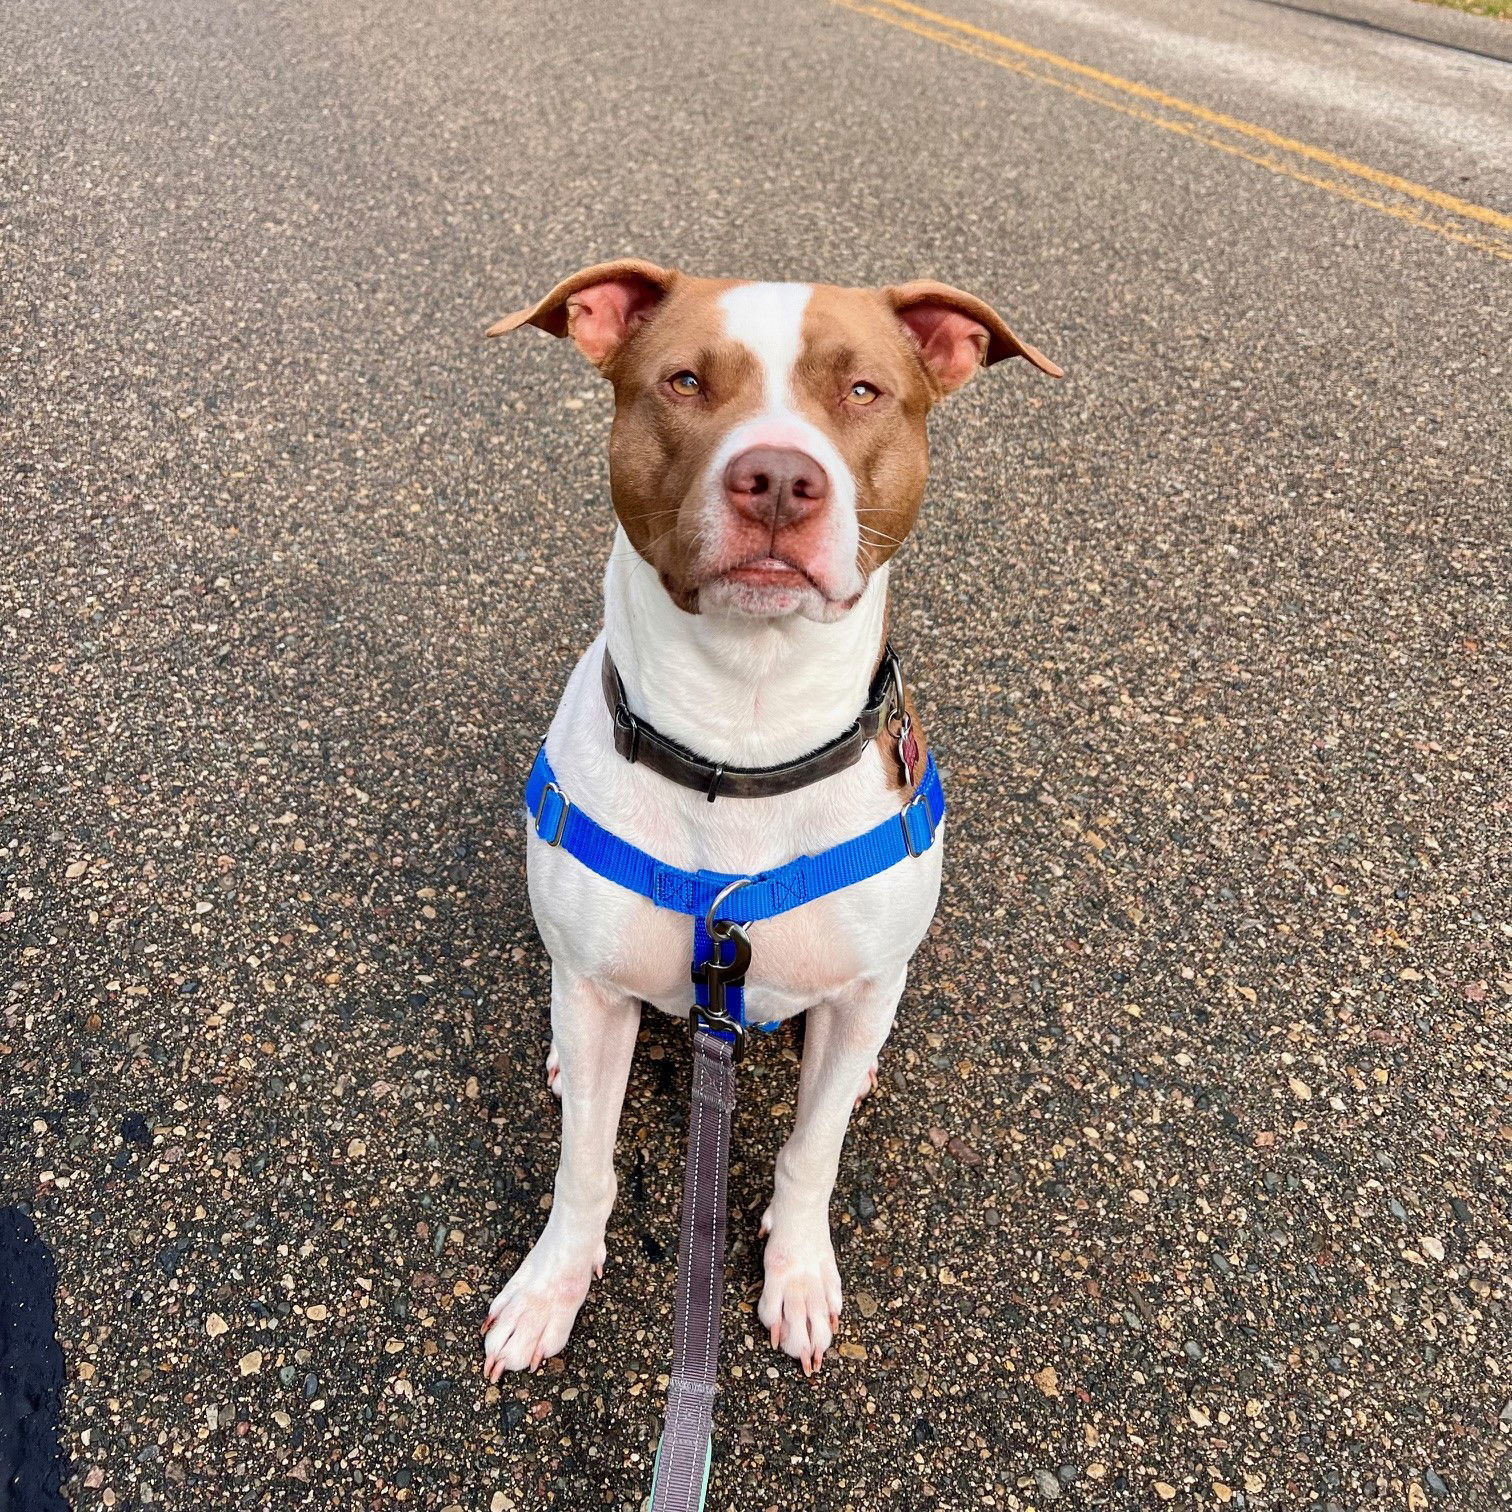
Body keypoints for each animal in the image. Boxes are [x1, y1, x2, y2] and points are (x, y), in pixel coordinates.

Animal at [477, 263, 1058, 1384]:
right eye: (686, 380)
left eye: (865, 391)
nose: (781, 478)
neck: (743, 740)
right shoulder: (599, 988)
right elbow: (586, 1168)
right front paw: (551, 1287)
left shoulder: (860, 992)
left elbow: (810, 1152)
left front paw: (797, 1274)